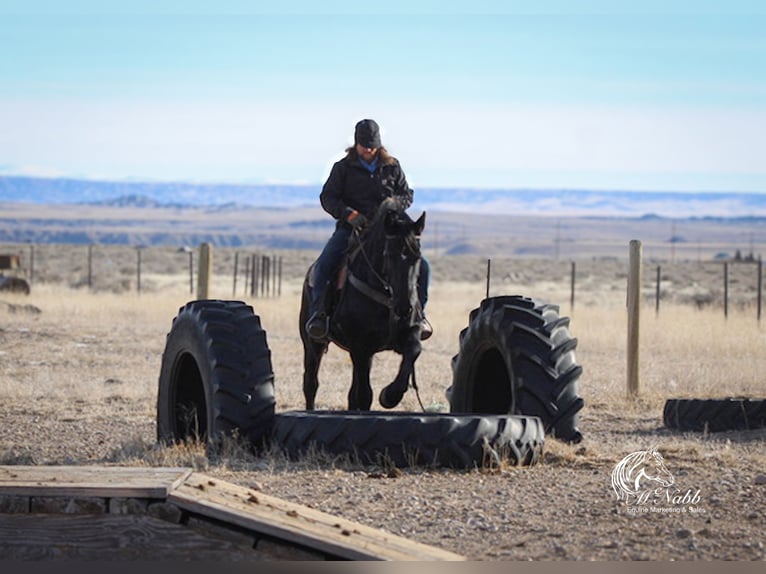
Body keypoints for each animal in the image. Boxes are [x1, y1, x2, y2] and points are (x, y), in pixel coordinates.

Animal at [300, 200, 428, 412]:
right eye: (388, 254)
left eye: (417, 256)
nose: (404, 308)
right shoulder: (360, 347)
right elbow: (364, 395)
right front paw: (387, 396)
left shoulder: (407, 333)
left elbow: (414, 350)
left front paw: (390, 395)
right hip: (312, 343)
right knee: (311, 384)